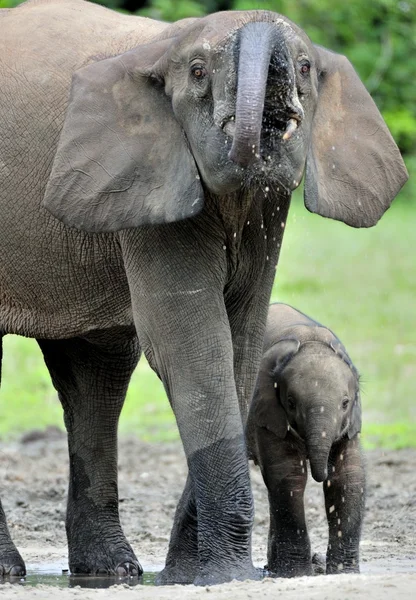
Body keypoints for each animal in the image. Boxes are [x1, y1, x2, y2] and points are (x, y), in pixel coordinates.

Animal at [245, 304, 366, 576]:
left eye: (345, 403)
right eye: (290, 402)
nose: (320, 472)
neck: (311, 340)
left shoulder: (351, 424)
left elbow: (349, 476)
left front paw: (343, 573)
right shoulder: (265, 411)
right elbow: (288, 474)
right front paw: (297, 574)